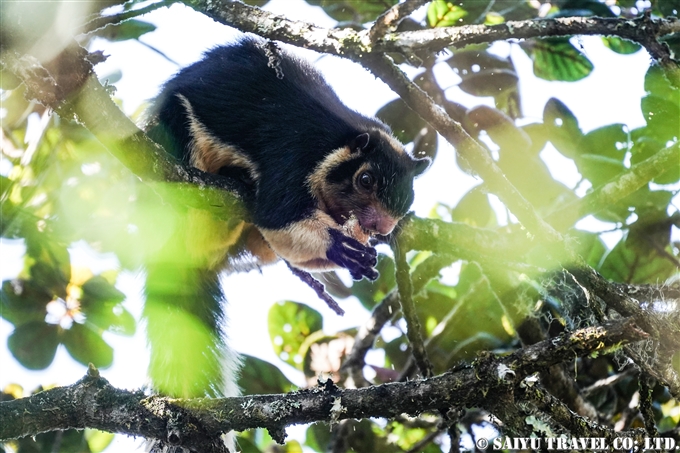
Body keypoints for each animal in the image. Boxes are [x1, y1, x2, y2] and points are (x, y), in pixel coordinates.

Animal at [144, 37, 430, 450]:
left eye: (408, 198)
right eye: (365, 179)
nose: (379, 226)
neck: (337, 140)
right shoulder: (291, 152)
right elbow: (278, 215)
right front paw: (340, 249)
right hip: (177, 140)